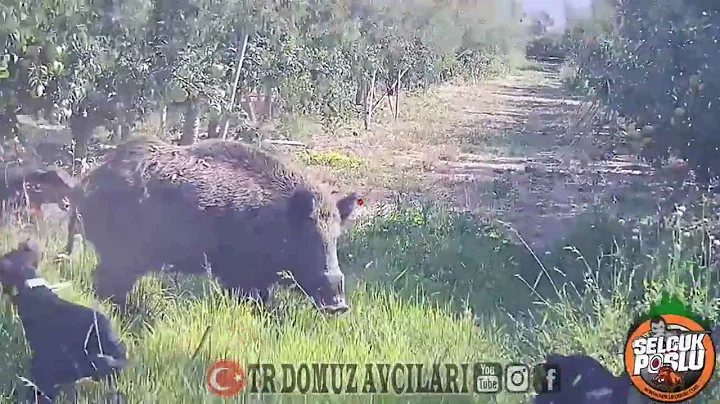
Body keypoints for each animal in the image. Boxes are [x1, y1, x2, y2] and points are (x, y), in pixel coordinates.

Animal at [64, 137, 357, 313]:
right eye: (309, 237)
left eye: (335, 238)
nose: (339, 306)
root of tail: (84, 184)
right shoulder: (240, 271)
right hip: (122, 252)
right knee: (104, 283)